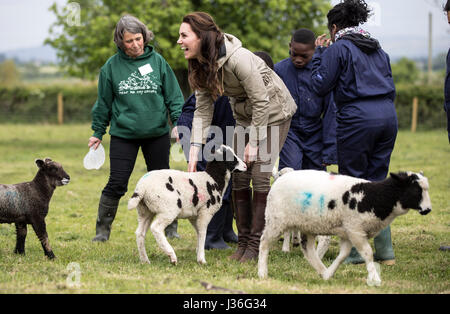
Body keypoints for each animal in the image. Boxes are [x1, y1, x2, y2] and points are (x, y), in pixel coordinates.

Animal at [260, 170, 432, 286]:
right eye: (416, 190)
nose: (428, 209)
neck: (373, 197)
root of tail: (280, 178)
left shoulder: (347, 233)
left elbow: (343, 255)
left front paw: (329, 274)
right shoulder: (355, 231)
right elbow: (368, 253)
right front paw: (375, 279)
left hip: (308, 225)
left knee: (308, 250)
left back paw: (322, 270)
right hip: (275, 221)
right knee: (264, 243)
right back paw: (262, 273)